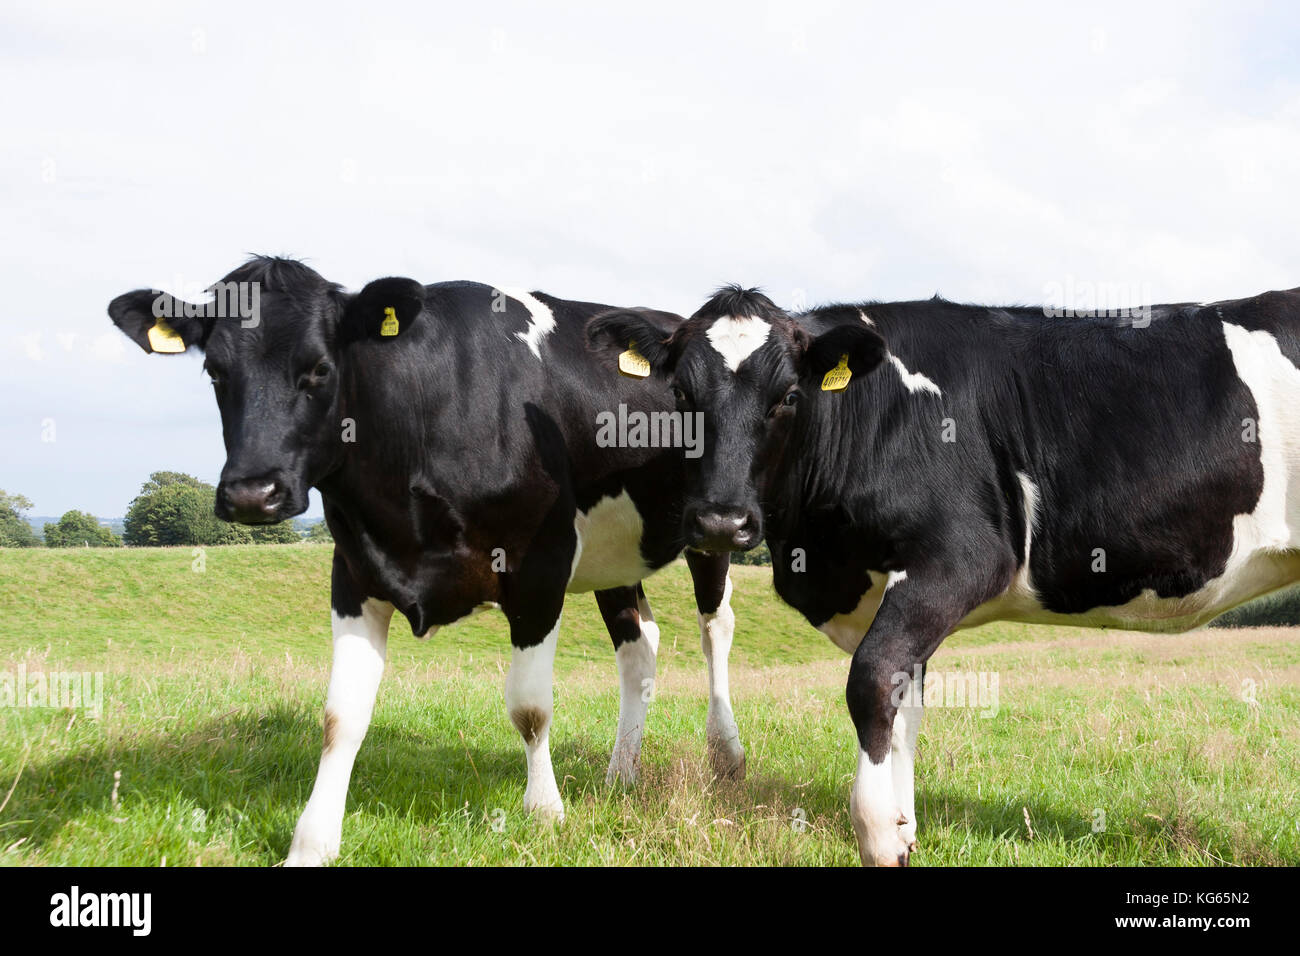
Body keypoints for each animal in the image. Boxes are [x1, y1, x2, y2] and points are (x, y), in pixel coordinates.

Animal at [107, 257, 747, 866]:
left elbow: (531, 708)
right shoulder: (355, 574)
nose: (250, 494)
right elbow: (341, 715)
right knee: (639, 649)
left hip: (712, 522)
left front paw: (544, 814)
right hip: (615, 555)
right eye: (216, 371)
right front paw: (312, 843)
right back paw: (621, 774)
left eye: (319, 368)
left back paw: (726, 754)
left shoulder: (539, 569)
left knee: (715, 627)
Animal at [587, 283, 1300, 866]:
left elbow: (872, 681)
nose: (720, 523)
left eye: (789, 396)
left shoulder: (962, 557)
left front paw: (879, 836)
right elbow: (905, 704)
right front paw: (904, 830)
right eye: (682, 395)